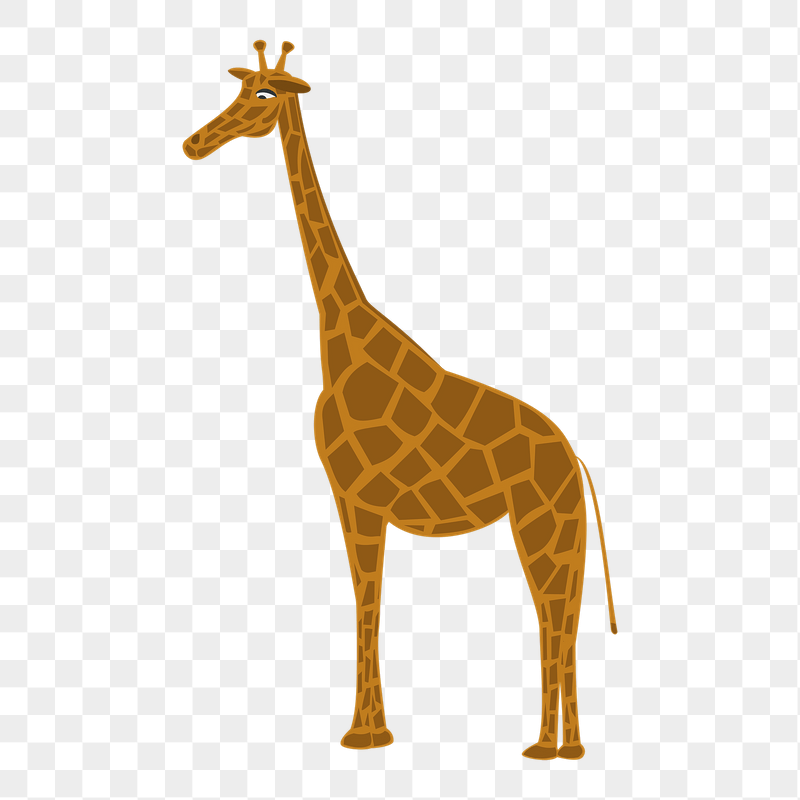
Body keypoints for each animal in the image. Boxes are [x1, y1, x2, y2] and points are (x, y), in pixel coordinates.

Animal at [184, 40, 618, 760]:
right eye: (241, 88)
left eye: (265, 96)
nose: (195, 143)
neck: (338, 335)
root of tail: (573, 456)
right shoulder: (350, 497)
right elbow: (370, 600)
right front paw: (371, 729)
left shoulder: (359, 497)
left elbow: (368, 599)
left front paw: (365, 733)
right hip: (550, 526)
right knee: (556, 615)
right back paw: (553, 745)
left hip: (543, 522)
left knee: (557, 614)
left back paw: (558, 748)